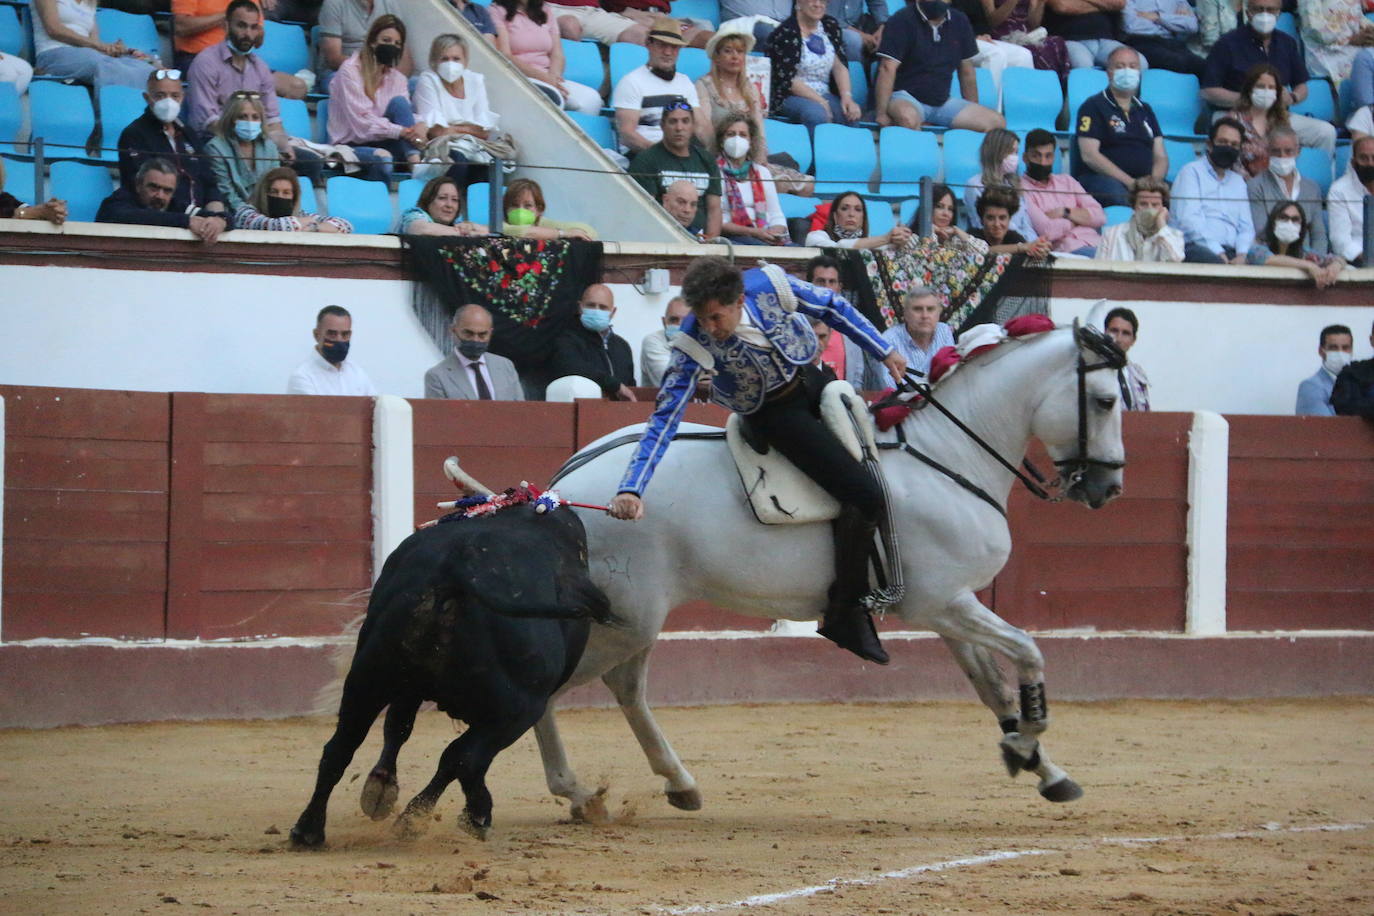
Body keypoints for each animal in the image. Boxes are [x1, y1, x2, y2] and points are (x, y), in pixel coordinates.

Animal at [288, 505, 612, 851]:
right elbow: (460, 758)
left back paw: (308, 830)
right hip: (520, 708)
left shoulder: (409, 689)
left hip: (368, 679)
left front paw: (382, 788)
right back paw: (451, 817)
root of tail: (456, 571)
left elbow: (398, 729)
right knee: (463, 758)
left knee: (341, 746)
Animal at [530, 321, 1121, 818]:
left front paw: (1044, 769)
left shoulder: (953, 608)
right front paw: (1025, 745)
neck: (947, 456)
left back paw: (676, 784)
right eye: (1107, 399)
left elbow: (994, 689)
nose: (1109, 487)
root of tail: (561, 488)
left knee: (626, 686)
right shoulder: (941, 603)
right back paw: (575, 791)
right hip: (628, 619)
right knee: (562, 685)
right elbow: (1028, 651)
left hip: (635, 621)